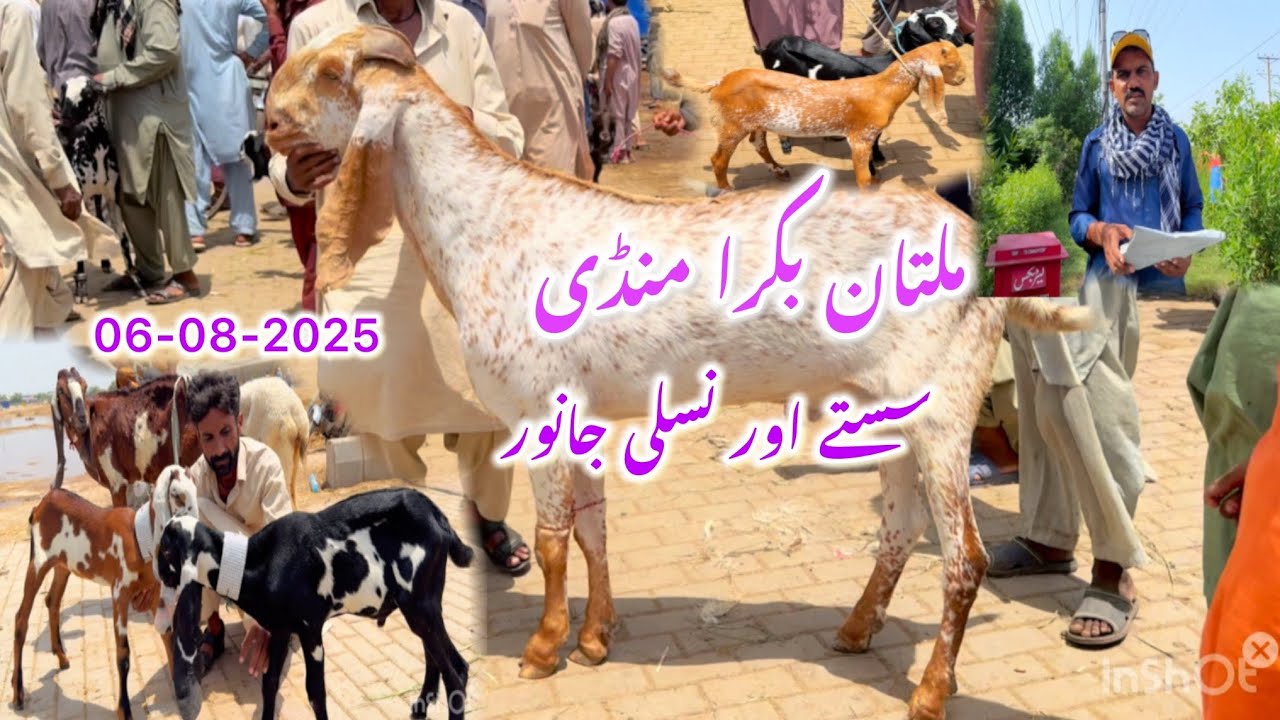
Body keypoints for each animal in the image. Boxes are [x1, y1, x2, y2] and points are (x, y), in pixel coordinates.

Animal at [11, 465, 201, 719]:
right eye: (177, 496)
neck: (138, 537)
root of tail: (42, 503)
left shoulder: (153, 595)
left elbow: (168, 637)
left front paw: (181, 696)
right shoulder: (119, 593)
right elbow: (123, 654)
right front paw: (124, 710)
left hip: (64, 566)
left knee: (52, 601)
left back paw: (61, 657)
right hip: (38, 562)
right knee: (21, 618)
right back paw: (18, 693)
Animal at [155, 488, 475, 720]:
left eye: (164, 553)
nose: (158, 575)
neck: (254, 560)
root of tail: (438, 516)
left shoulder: (310, 631)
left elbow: (315, 693)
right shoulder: (281, 630)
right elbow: (269, 683)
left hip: (420, 606)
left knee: (455, 674)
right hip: (422, 608)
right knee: (444, 662)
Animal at [666, 40, 967, 190]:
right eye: (951, 65)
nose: (963, 78)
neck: (882, 88)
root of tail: (720, 81)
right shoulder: (861, 137)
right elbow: (863, 177)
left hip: (755, 122)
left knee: (759, 143)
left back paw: (779, 170)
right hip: (732, 125)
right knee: (718, 159)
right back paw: (726, 191)